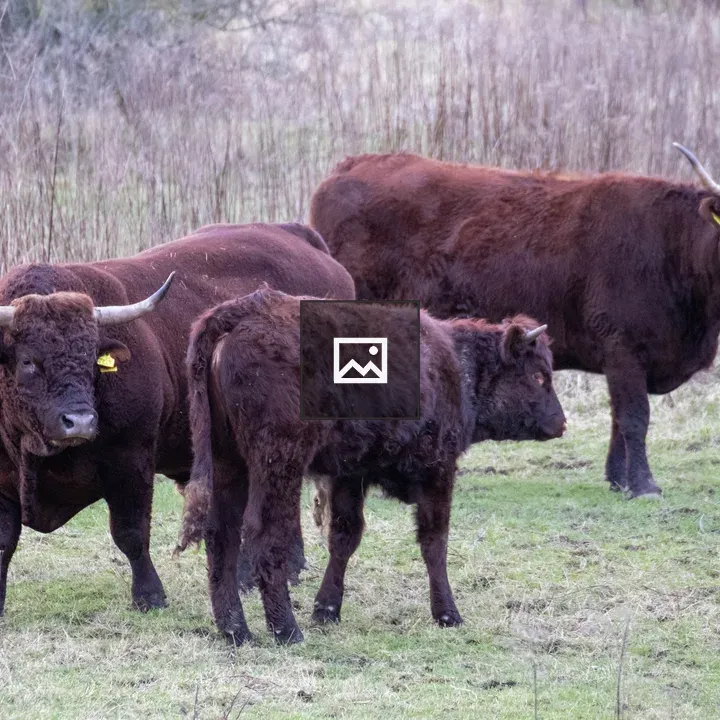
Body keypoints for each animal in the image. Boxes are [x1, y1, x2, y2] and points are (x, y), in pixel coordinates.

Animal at [0, 223, 354, 617]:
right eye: (28, 361)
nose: (80, 421)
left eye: (92, 357)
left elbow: (130, 532)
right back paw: (287, 567)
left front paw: (149, 594)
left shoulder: (131, 458)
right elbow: (5, 541)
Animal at [176, 288, 566, 645]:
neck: (455, 365)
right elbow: (434, 541)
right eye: (538, 376)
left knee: (221, 536)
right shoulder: (439, 470)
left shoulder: (350, 475)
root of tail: (241, 312)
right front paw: (447, 614)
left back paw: (235, 631)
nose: (560, 423)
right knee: (265, 537)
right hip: (278, 465)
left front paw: (327, 609)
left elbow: (344, 537)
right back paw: (287, 630)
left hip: (228, 461)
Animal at [309, 144, 720, 499]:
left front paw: (619, 479)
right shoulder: (624, 349)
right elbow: (635, 418)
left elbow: (619, 421)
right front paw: (644, 484)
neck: (672, 245)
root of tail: (353, 164)